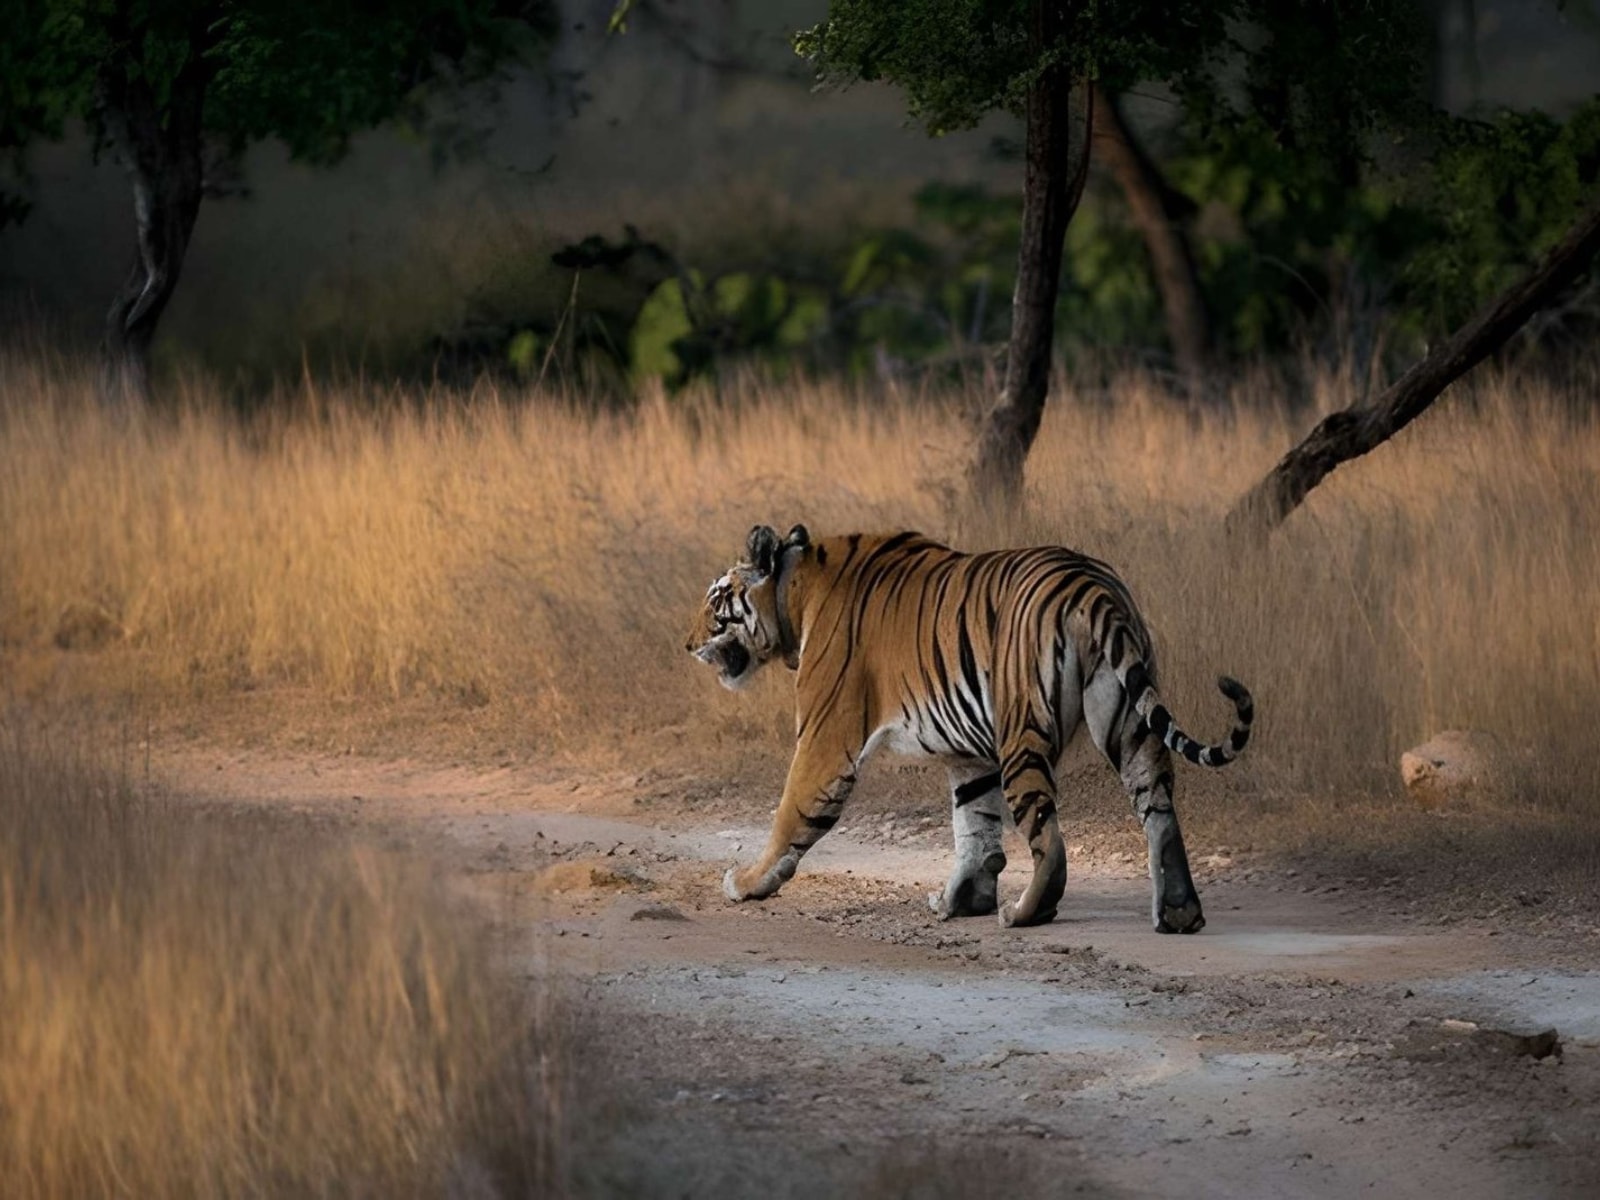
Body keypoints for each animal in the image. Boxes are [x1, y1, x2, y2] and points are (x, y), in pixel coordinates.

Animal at [685, 524, 1253, 934]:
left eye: (716, 603)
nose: (686, 644)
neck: (796, 593)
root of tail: (1093, 586)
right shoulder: (970, 755)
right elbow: (975, 828)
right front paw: (961, 900)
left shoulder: (827, 738)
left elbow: (790, 815)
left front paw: (747, 882)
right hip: (1129, 722)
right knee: (1159, 812)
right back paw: (1179, 913)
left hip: (1021, 730)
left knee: (1050, 837)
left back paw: (1024, 914)